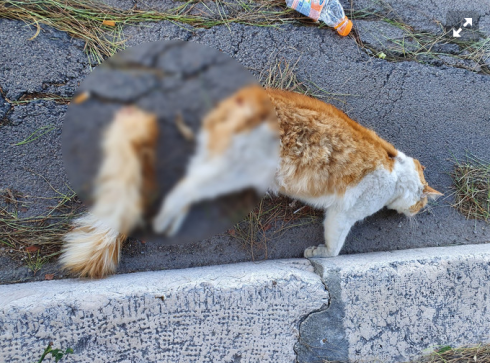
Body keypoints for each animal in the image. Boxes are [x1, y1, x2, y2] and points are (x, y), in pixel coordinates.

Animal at [59, 86, 442, 278]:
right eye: (421, 204)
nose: (419, 213)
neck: (397, 172)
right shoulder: (343, 214)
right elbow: (334, 247)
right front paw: (319, 253)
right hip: (226, 171)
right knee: (179, 190)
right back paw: (169, 220)